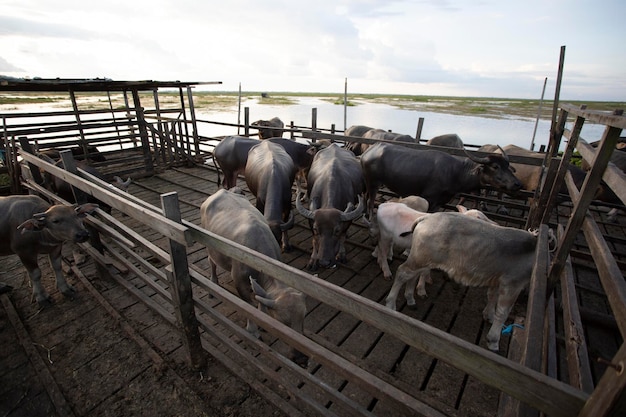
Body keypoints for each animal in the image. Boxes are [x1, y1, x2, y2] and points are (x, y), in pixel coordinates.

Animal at [200, 188, 308, 364]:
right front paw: (253, 329)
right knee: (212, 262)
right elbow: (248, 305)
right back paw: (213, 282)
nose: (301, 359)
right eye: (283, 323)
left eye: (303, 317)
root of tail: (221, 191)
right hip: (210, 246)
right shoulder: (239, 281)